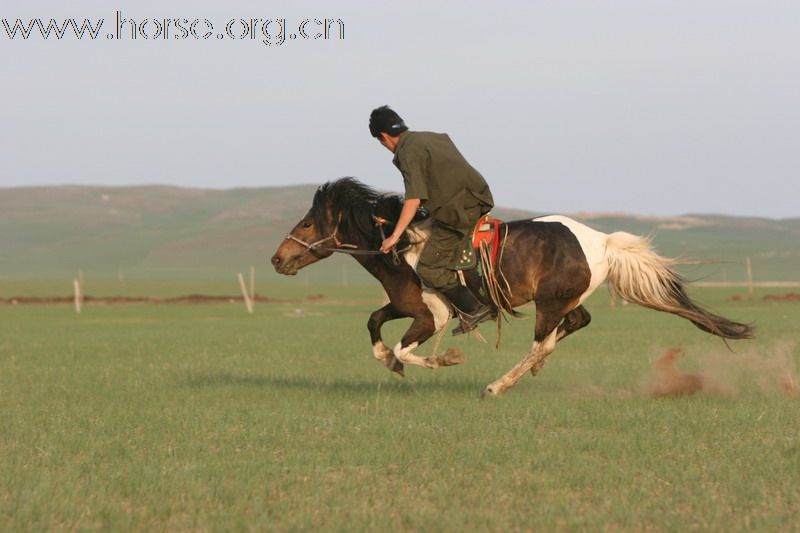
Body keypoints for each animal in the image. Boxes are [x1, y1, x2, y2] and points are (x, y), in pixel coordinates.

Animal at [272, 178, 752, 394]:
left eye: (308, 223)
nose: (278, 258)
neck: (400, 245)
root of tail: (601, 241)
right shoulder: (406, 305)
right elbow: (374, 324)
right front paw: (389, 362)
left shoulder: (433, 315)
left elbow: (410, 349)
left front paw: (446, 358)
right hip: (562, 300)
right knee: (573, 324)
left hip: (550, 302)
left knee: (543, 342)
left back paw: (499, 385)